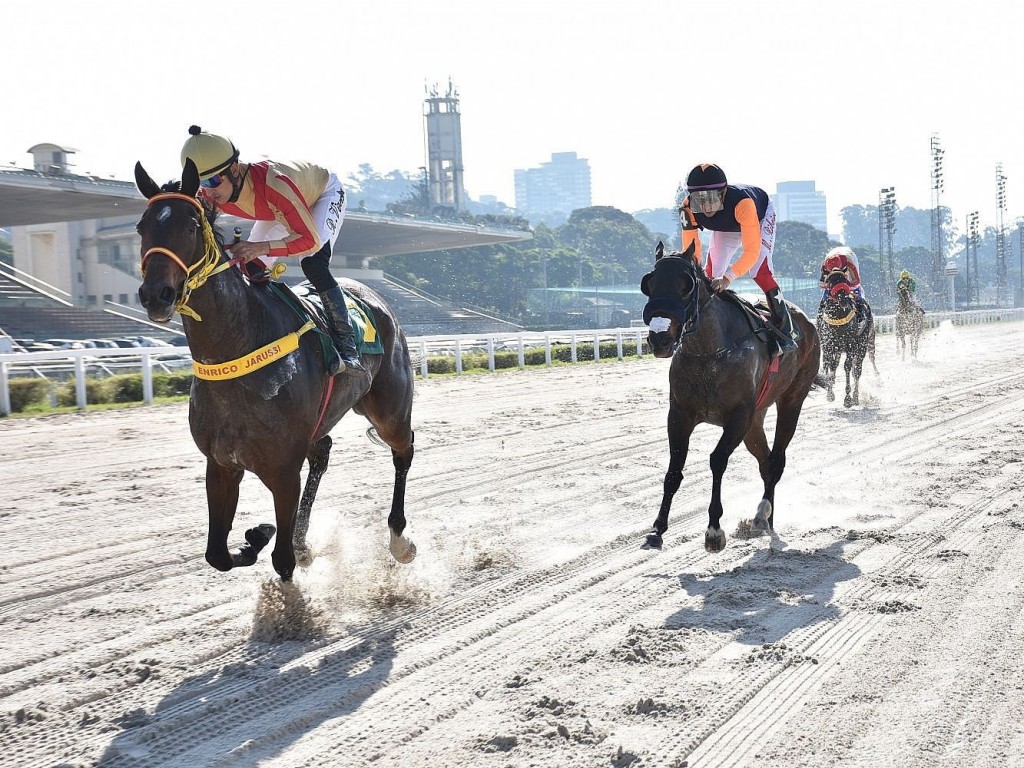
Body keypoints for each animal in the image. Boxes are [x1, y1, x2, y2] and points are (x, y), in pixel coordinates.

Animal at [135, 162, 415, 581]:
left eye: (190, 226)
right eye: (141, 227)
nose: (156, 294)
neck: (236, 350)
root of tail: (376, 297)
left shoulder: (283, 470)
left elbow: (282, 562)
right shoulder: (221, 464)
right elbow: (216, 555)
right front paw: (257, 536)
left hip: (390, 409)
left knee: (403, 450)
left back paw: (399, 539)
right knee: (323, 453)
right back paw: (301, 537)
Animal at [643, 244, 819, 552]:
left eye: (685, 286)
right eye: (649, 284)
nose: (660, 338)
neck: (710, 351)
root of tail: (808, 323)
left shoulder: (738, 416)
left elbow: (717, 460)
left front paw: (714, 530)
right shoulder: (679, 414)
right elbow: (674, 470)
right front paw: (657, 529)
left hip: (791, 401)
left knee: (777, 460)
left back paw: (761, 515)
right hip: (755, 422)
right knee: (765, 461)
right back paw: (768, 518)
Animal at [815, 268, 880, 409]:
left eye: (844, 280)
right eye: (830, 282)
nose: (844, 299)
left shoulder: (850, 345)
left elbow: (847, 367)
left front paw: (848, 398)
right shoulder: (828, 346)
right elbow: (829, 365)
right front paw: (830, 394)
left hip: (863, 344)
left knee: (857, 370)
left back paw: (856, 397)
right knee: (836, 365)